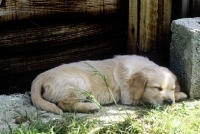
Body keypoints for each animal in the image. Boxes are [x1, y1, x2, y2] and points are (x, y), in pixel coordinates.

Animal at [30, 54, 187, 114]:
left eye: (172, 88)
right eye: (157, 88)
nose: (168, 101)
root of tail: (41, 75)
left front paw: (178, 94)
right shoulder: (129, 97)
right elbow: (145, 99)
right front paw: (179, 95)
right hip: (79, 82)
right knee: (63, 103)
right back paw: (90, 107)